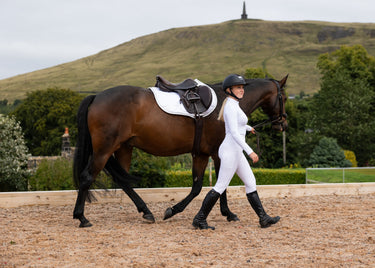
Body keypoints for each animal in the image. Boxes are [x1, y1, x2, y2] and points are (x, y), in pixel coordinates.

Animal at [74, 76, 290, 228]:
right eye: (284, 98)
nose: (283, 123)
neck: (226, 101)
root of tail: (96, 97)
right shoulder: (216, 153)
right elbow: (215, 186)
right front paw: (177, 210)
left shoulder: (201, 154)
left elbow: (201, 186)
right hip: (104, 150)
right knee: (87, 177)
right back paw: (81, 217)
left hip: (124, 148)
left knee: (123, 181)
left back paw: (146, 211)